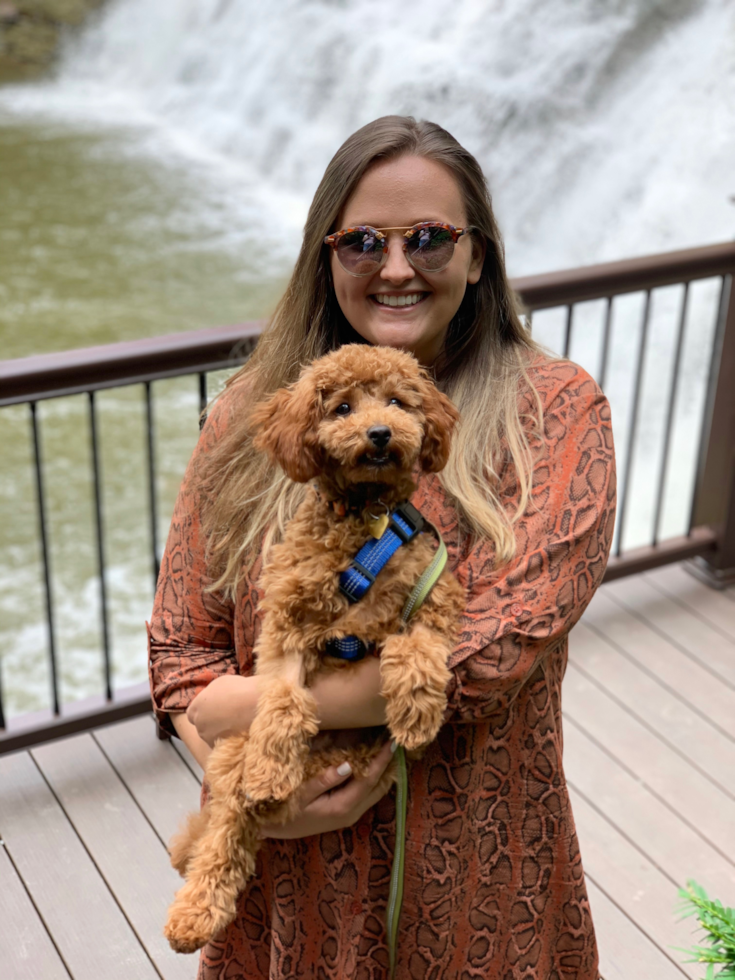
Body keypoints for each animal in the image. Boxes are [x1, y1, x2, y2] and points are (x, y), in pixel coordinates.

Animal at [167, 342, 466, 948]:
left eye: (397, 402)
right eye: (342, 407)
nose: (380, 433)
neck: (366, 522)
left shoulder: (432, 595)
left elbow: (418, 649)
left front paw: (417, 714)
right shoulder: (285, 628)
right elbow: (284, 699)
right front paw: (268, 768)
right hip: (232, 764)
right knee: (223, 838)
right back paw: (192, 914)